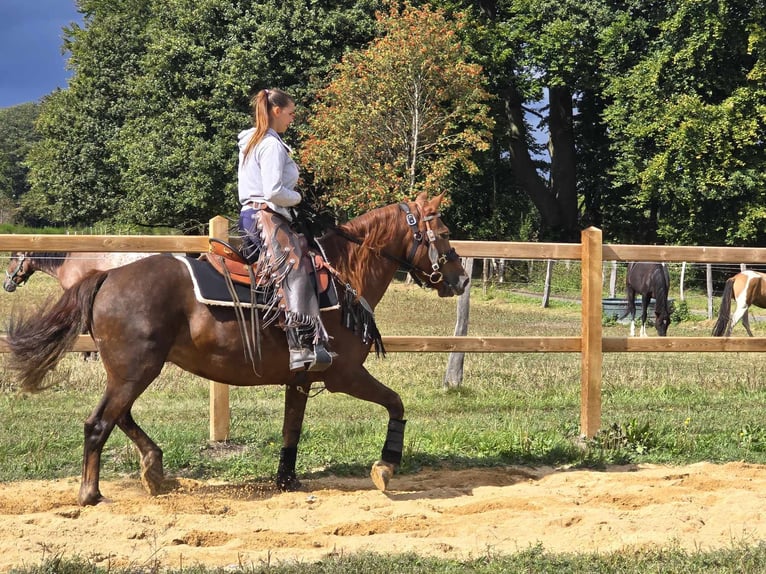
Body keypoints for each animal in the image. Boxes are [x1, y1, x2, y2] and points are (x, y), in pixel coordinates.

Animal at [9, 195, 472, 508]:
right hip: (135, 371)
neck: (344, 274)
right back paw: (91, 493)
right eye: (444, 232)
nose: (461, 277)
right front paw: (386, 467)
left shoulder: (301, 378)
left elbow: (291, 429)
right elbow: (395, 402)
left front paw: (287, 481)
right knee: (99, 423)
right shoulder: (344, 375)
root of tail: (107, 276)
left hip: (130, 371)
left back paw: (155, 471)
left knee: (119, 416)